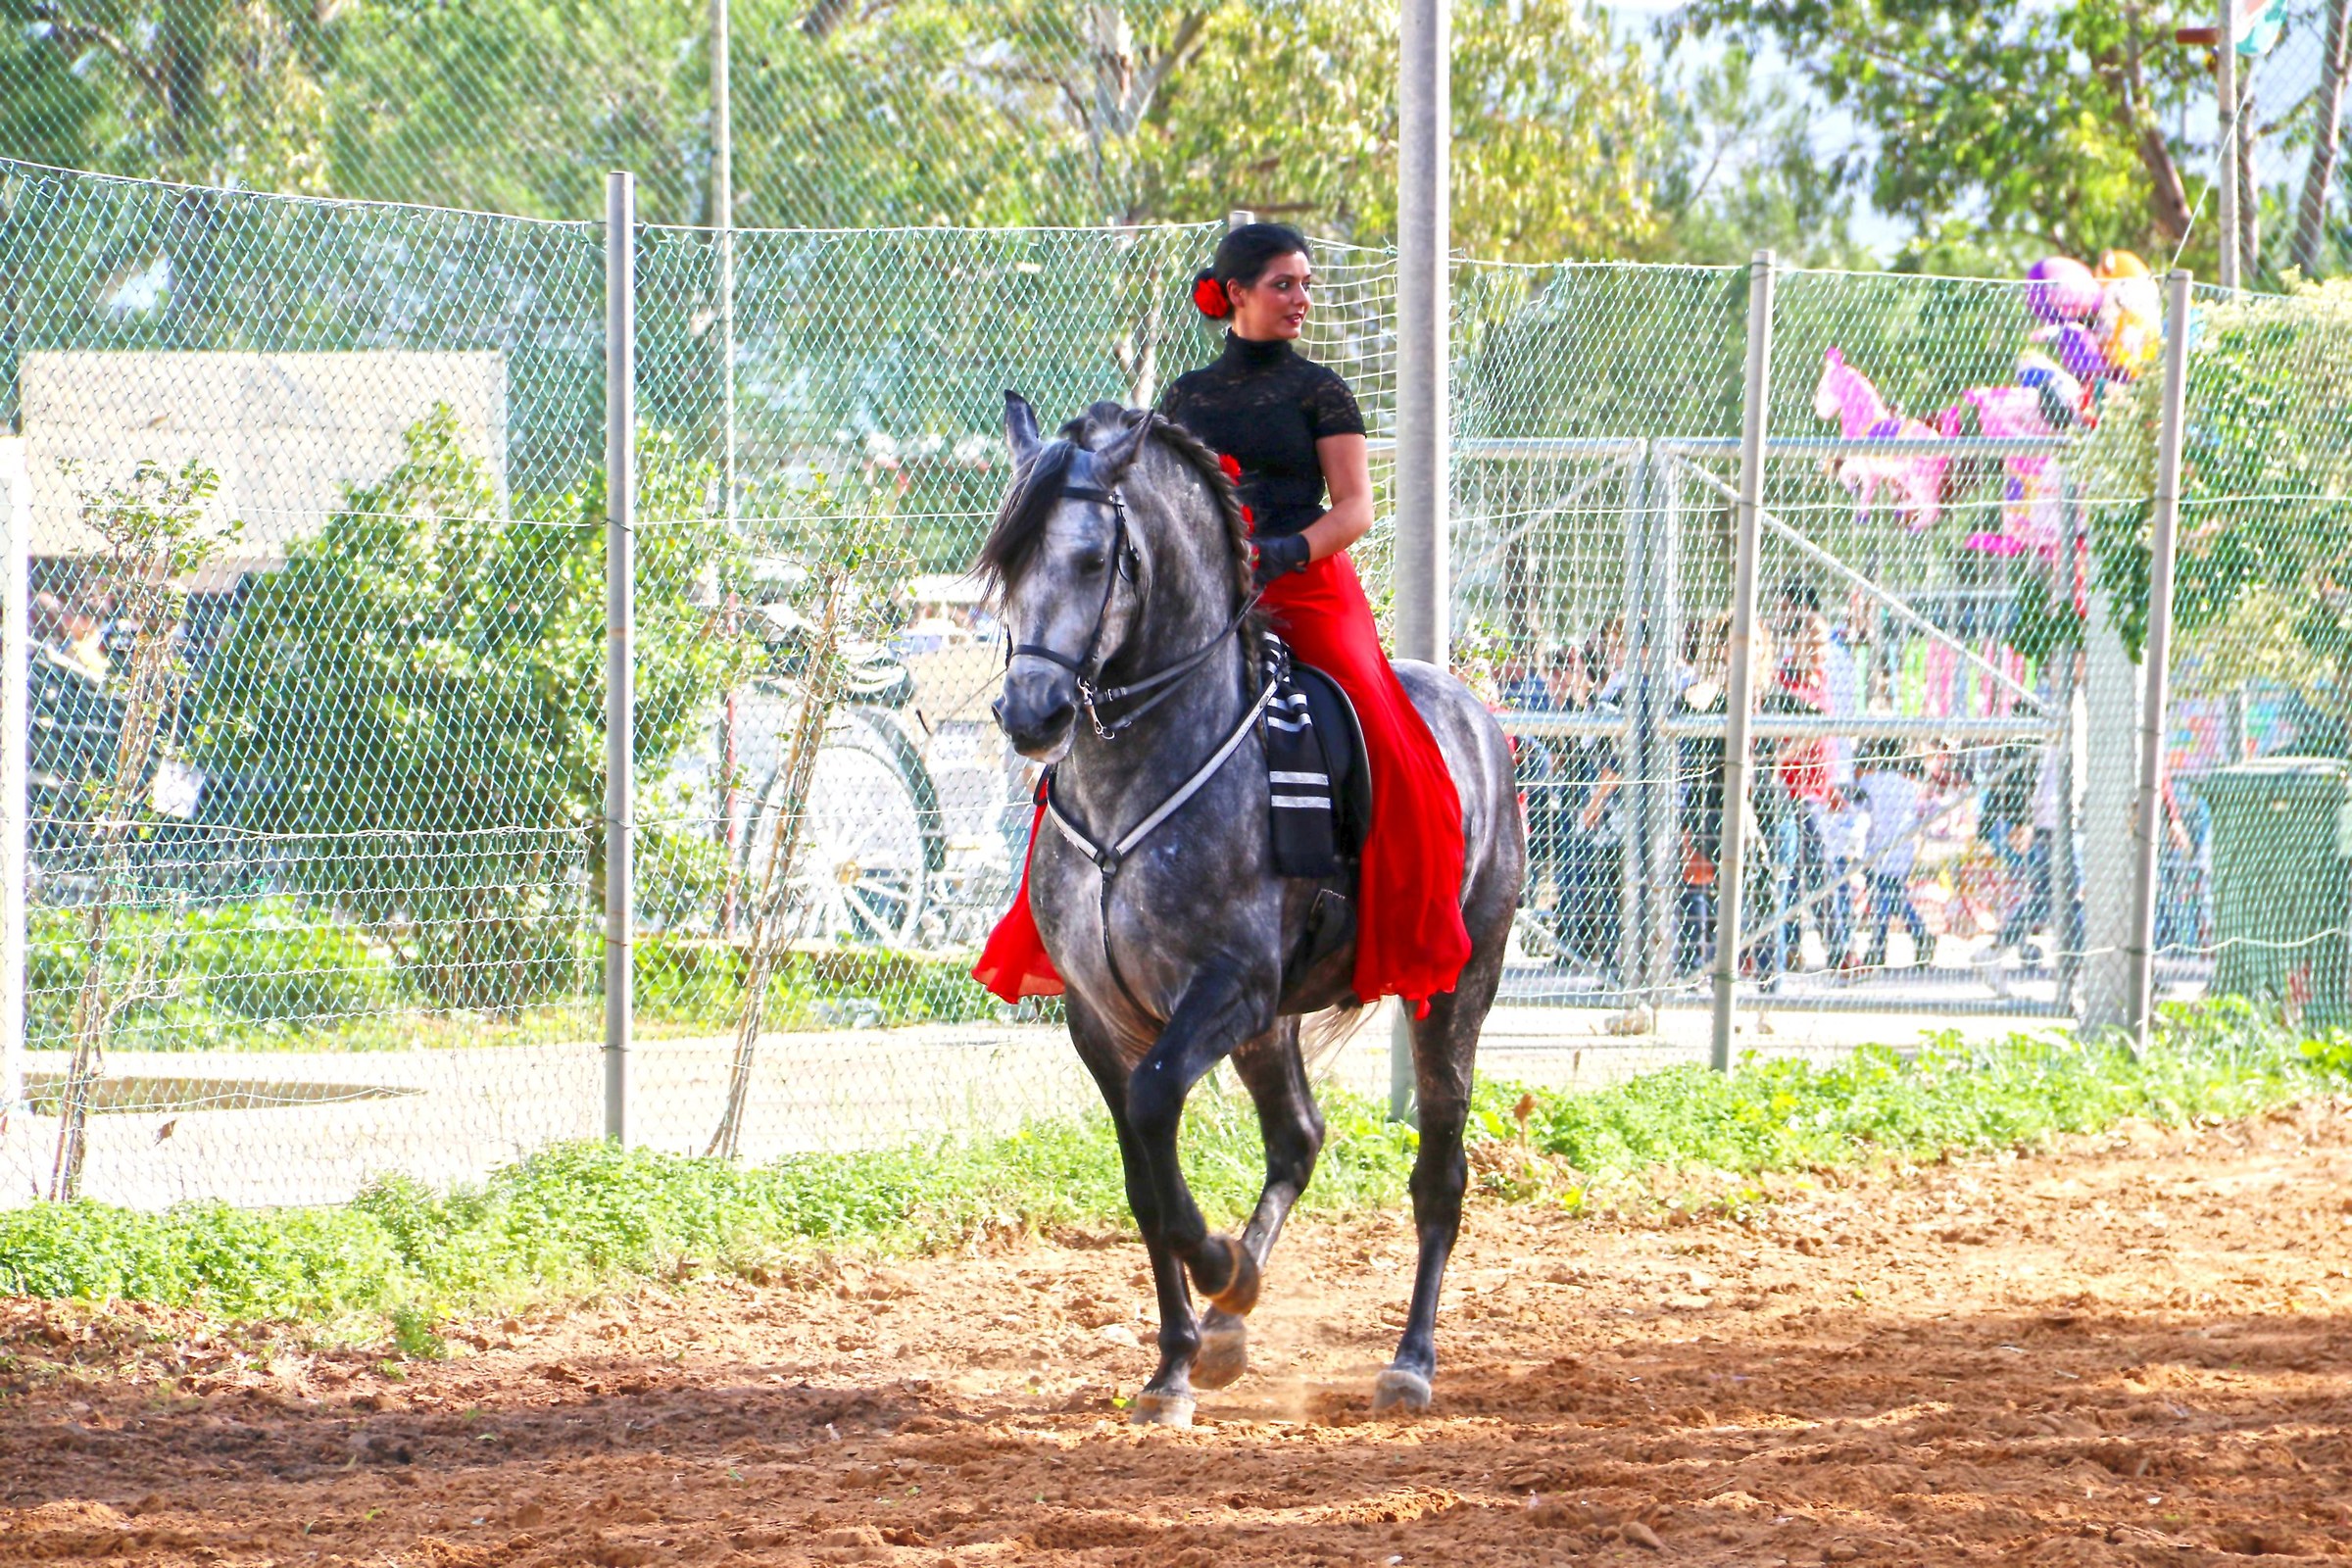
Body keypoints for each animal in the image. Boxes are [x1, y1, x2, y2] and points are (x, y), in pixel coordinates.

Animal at [980, 394, 1524, 1426]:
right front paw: (1175, 1366)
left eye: (1092, 560)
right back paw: (1230, 1329)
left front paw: (1220, 1266)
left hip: (1451, 990)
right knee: (1300, 1140)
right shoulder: (1101, 1018)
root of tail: (1472, 710)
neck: (1135, 776)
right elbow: (1144, 1182)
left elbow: (1158, 1109)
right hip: (1272, 1027)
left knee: (1439, 1172)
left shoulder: (1226, 987)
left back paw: (1409, 1363)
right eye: (1008, 564)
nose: (1031, 716)